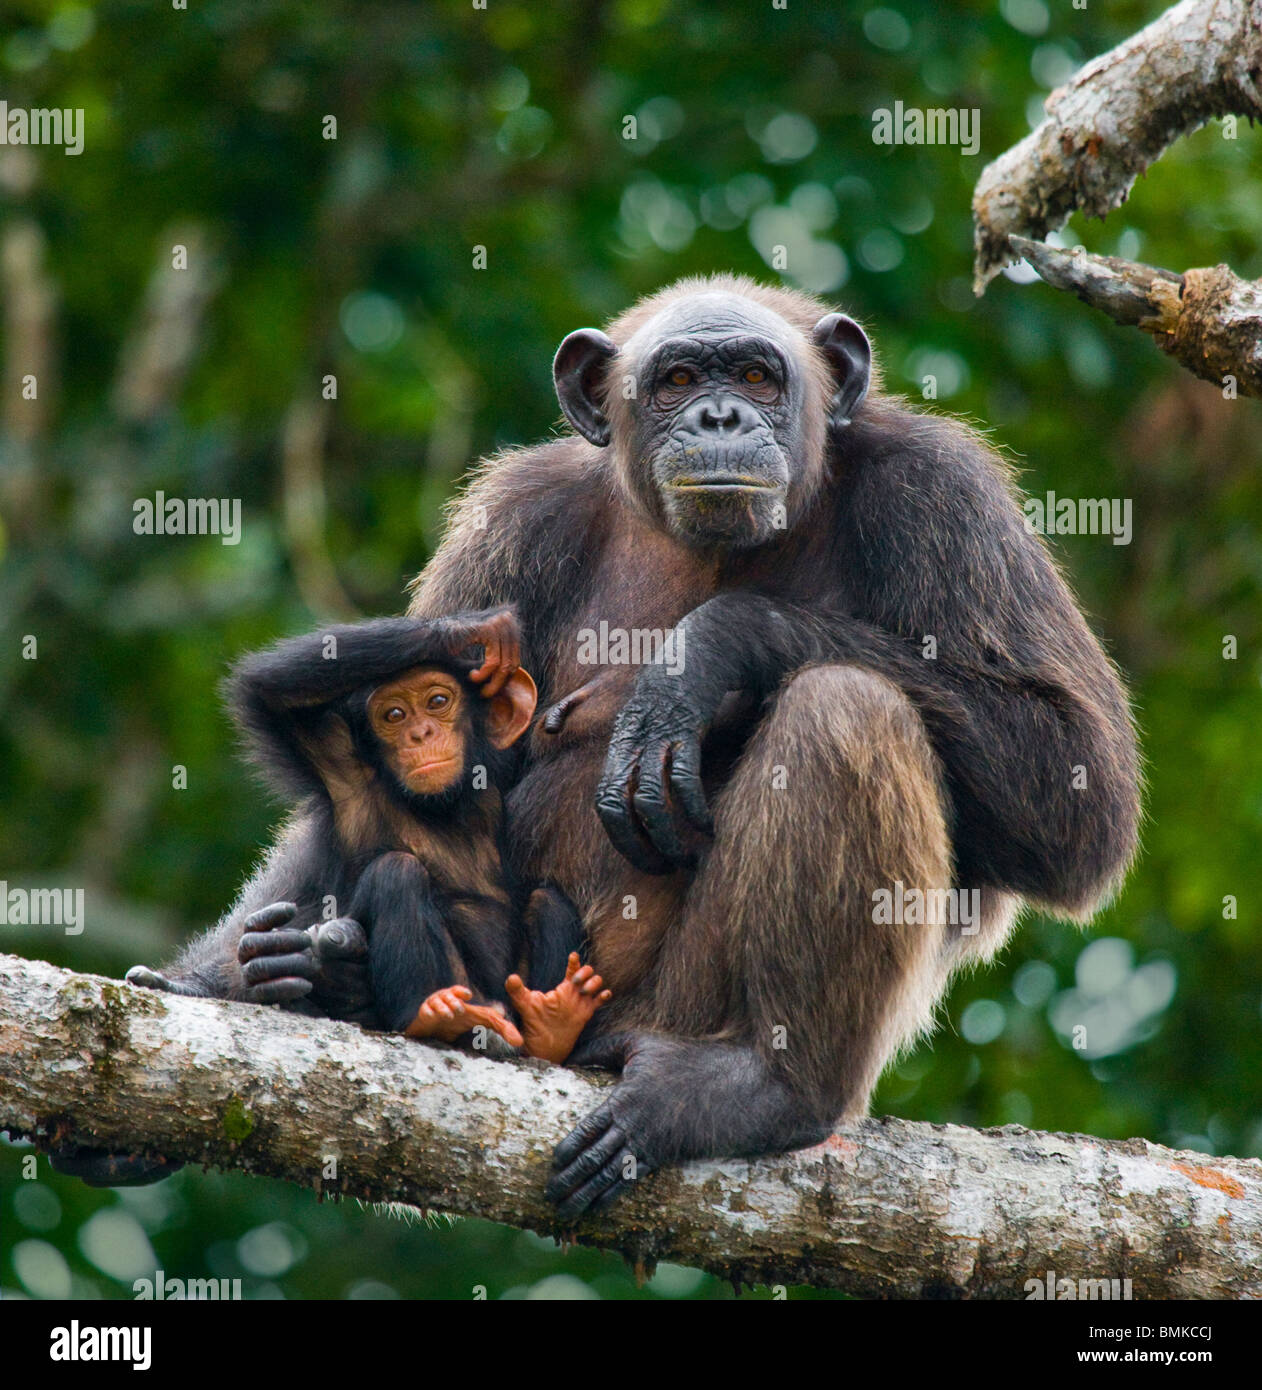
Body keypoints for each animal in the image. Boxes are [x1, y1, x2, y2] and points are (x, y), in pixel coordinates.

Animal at [103, 273, 1139, 1217]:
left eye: (757, 375)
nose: (720, 414)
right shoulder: (514, 518)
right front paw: (244, 974)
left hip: (665, 1012)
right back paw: (312, 978)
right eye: (677, 377)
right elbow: (375, 753)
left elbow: (1077, 787)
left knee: (848, 705)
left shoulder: (945, 496)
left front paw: (706, 653)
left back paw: (768, 1089)